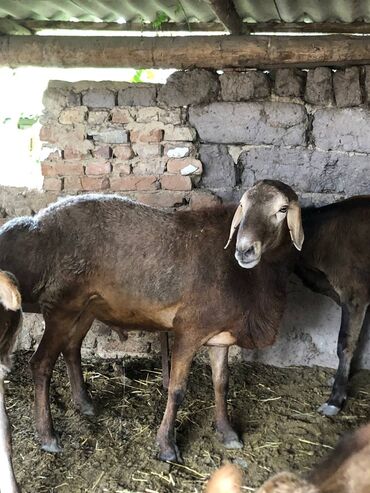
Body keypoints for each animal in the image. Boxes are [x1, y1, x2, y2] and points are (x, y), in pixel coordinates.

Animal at [0, 181, 302, 462]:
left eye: (282, 209)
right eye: (243, 207)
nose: (245, 250)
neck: (244, 276)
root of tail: (36, 224)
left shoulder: (219, 336)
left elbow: (221, 383)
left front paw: (227, 433)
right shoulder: (189, 329)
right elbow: (177, 389)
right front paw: (167, 446)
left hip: (85, 309)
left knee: (71, 349)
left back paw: (85, 403)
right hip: (61, 306)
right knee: (41, 364)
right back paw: (48, 436)